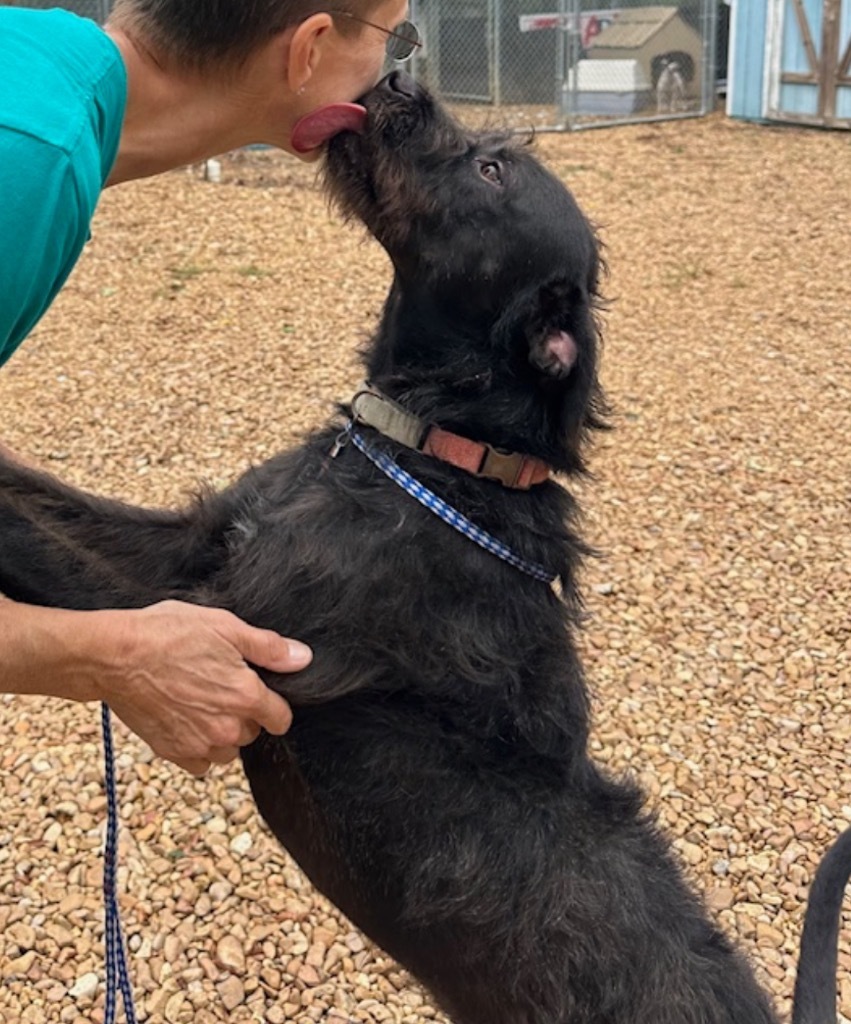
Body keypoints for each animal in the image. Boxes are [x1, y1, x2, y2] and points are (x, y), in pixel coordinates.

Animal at [1, 74, 851, 1024]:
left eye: (490, 171)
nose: (396, 80)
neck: (428, 457)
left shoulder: (208, 622)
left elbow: (24, 529)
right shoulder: (197, 543)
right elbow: (39, 494)